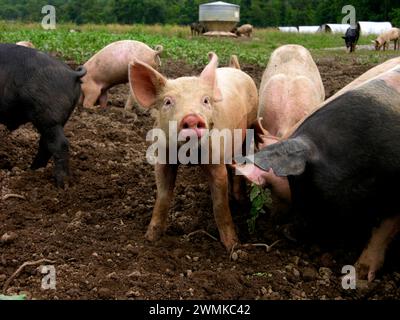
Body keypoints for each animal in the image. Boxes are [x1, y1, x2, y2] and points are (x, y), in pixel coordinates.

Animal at [0, 43, 86, 186]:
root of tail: (71, 73)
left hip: (49, 116)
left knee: (60, 144)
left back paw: (61, 184)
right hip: (58, 119)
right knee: (46, 144)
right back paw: (33, 170)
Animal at [130, 52, 258, 251]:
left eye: (205, 100)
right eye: (168, 101)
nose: (191, 118)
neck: (189, 155)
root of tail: (236, 69)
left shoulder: (216, 162)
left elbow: (220, 205)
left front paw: (233, 246)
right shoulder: (163, 159)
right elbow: (163, 197)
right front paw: (150, 238)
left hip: (251, 124)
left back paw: (241, 202)